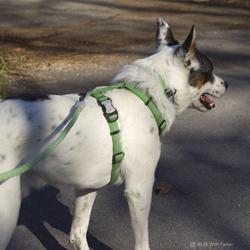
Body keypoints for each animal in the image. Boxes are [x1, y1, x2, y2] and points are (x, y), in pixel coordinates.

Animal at [0, 18, 229, 250]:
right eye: (210, 70)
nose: (227, 84)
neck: (148, 92)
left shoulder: (87, 188)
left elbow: (78, 234)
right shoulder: (139, 189)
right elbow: (142, 243)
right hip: (7, 213)